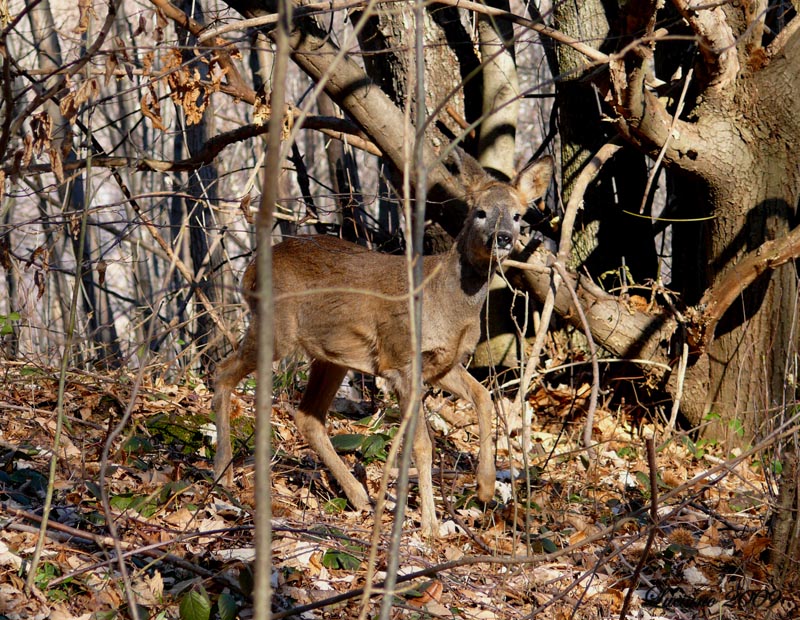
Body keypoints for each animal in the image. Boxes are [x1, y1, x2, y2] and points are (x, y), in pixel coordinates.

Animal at [209, 150, 552, 536]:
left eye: (518, 215)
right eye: (480, 212)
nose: (503, 237)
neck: (447, 301)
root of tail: (249, 270)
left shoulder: (443, 364)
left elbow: (483, 397)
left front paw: (485, 486)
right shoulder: (402, 361)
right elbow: (421, 444)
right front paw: (430, 525)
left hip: (332, 355)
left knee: (307, 416)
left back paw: (359, 496)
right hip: (276, 329)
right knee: (222, 370)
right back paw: (222, 473)